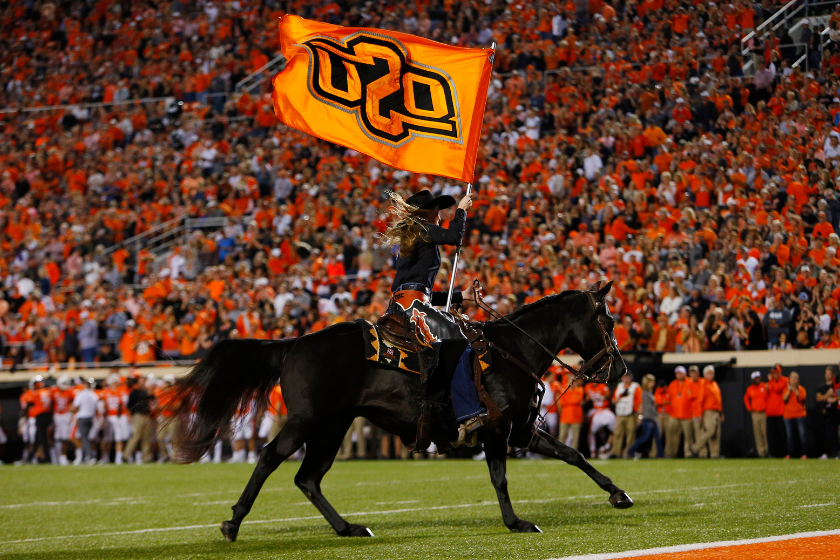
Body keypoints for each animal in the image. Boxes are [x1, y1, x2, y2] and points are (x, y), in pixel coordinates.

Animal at [174, 282, 632, 540]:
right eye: (608, 322)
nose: (620, 370)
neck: (510, 352)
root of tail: (294, 342)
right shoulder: (496, 431)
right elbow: (500, 478)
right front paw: (516, 522)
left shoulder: (521, 430)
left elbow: (573, 454)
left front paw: (618, 493)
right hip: (308, 421)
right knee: (270, 458)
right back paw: (233, 523)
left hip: (334, 426)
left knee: (308, 477)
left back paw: (348, 528)